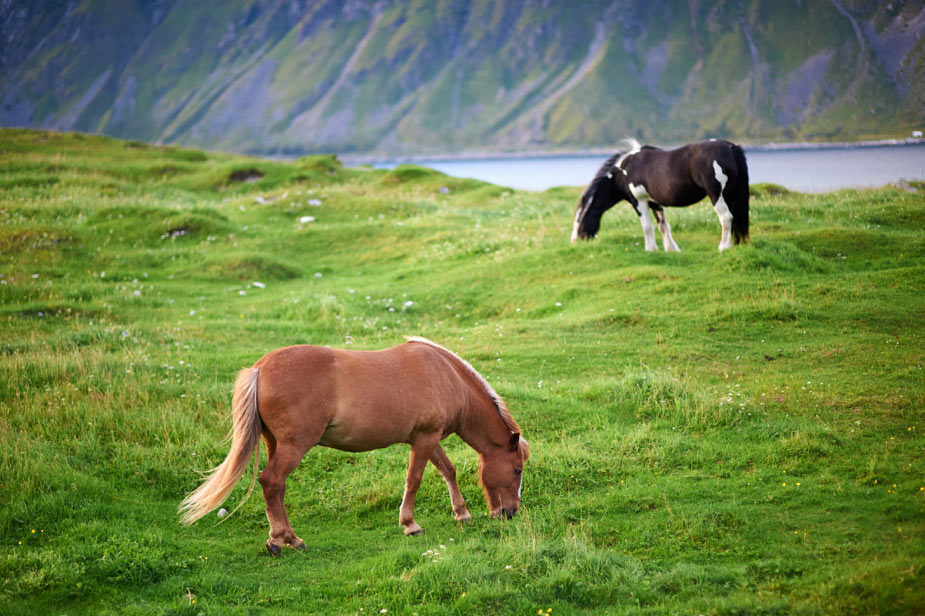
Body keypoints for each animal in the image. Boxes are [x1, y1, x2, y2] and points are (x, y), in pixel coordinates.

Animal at [180, 336, 528, 552]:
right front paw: (410, 524)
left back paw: (289, 538)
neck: (447, 376)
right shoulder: (425, 439)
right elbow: (414, 480)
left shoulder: (426, 438)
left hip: (274, 443)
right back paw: (281, 540)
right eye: (516, 470)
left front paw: (461, 513)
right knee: (272, 481)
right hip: (294, 446)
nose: (510, 512)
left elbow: (448, 470)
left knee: (276, 490)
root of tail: (260, 368)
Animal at [572, 140, 752, 253]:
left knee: (726, 218)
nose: (575, 241)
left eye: (579, 220)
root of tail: (730, 147)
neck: (624, 170)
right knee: (735, 218)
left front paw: (650, 249)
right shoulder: (654, 203)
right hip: (730, 194)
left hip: (717, 195)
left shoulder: (639, 201)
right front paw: (671, 249)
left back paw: (723, 247)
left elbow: (647, 226)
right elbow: (663, 226)